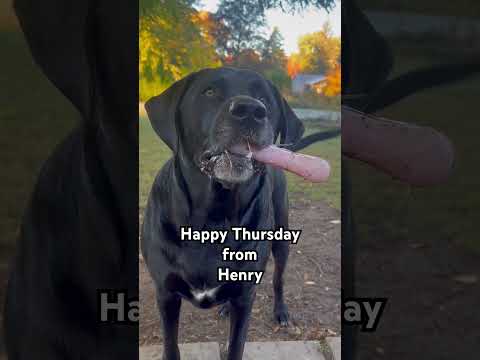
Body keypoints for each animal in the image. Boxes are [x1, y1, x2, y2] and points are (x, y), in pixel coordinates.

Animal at [141, 65, 340, 360]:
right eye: (209, 91)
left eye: (264, 98)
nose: (250, 110)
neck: (213, 219)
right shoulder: (165, 294)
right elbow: (170, 345)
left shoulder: (246, 297)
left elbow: (237, 345)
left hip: (282, 240)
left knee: (278, 280)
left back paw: (280, 312)